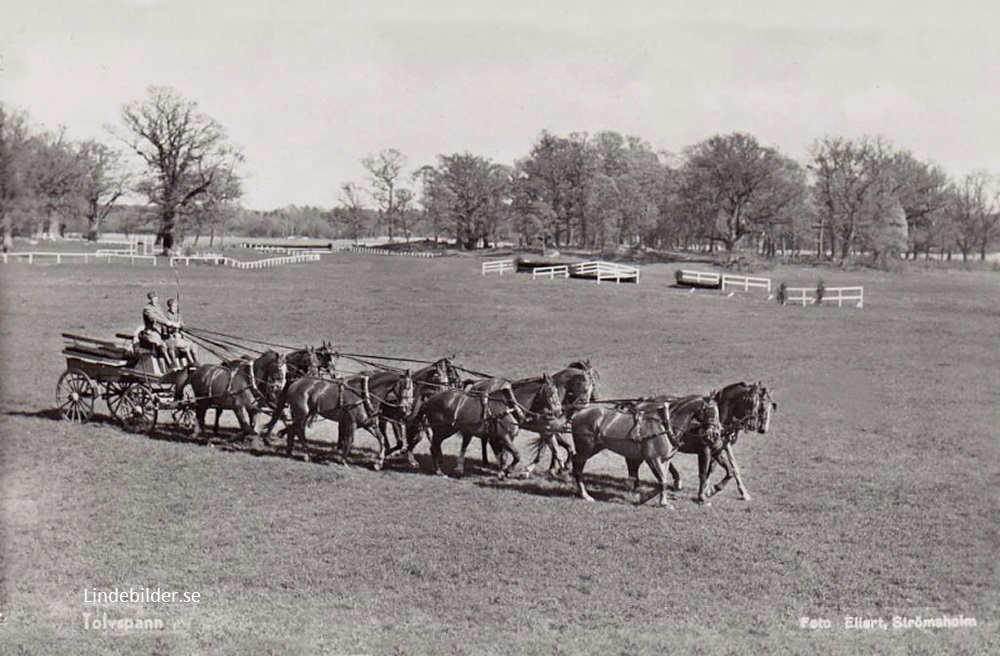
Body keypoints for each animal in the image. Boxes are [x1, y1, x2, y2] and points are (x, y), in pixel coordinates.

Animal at [572, 394, 720, 508]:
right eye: (711, 411)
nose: (716, 434)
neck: (665, 424)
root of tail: (579, 413)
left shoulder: (665, 460)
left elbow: (663, 481)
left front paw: (650, 498)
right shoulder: (652, 459)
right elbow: (662, 481)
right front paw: (662, 503)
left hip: (595, 447)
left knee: (575, 461)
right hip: (586, 447)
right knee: (578, 469)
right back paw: (585, 495)